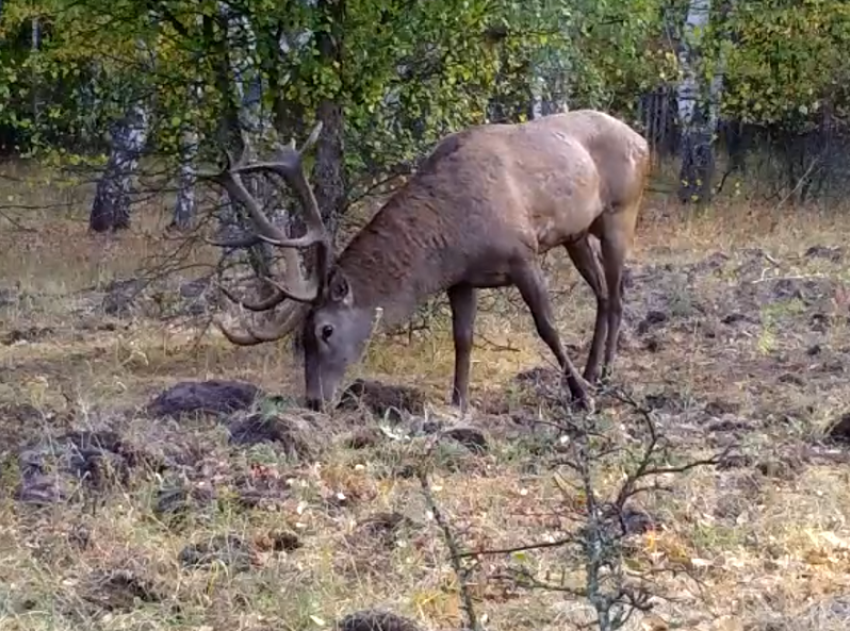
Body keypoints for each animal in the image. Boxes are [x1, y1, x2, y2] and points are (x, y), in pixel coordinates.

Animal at [200, 108, 648, 414]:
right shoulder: (463, 279)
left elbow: (548, 327)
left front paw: (581, 398)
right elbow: (462, 339)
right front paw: (458, 404)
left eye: (325, 330)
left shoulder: (522, 254)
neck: (454, 235)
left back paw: (603, 376)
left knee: (618, 294)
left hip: (621, 213)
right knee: (603, 294)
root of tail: (642, 138)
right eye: (298, 339)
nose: (313, 401)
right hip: (577, 234)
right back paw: (594, 372)